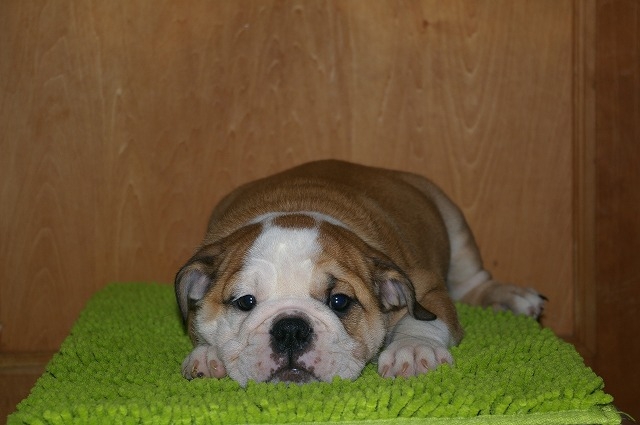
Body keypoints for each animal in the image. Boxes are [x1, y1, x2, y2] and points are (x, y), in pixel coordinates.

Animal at [175, 160, 545, 386]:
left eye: (339, 301)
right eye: (245, 302)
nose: (290, 329)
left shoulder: (426, 286)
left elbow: (424, 317)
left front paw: (413, 349)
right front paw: (208, 354)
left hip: (454, 225)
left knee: (473, 282)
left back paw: (509, 297)